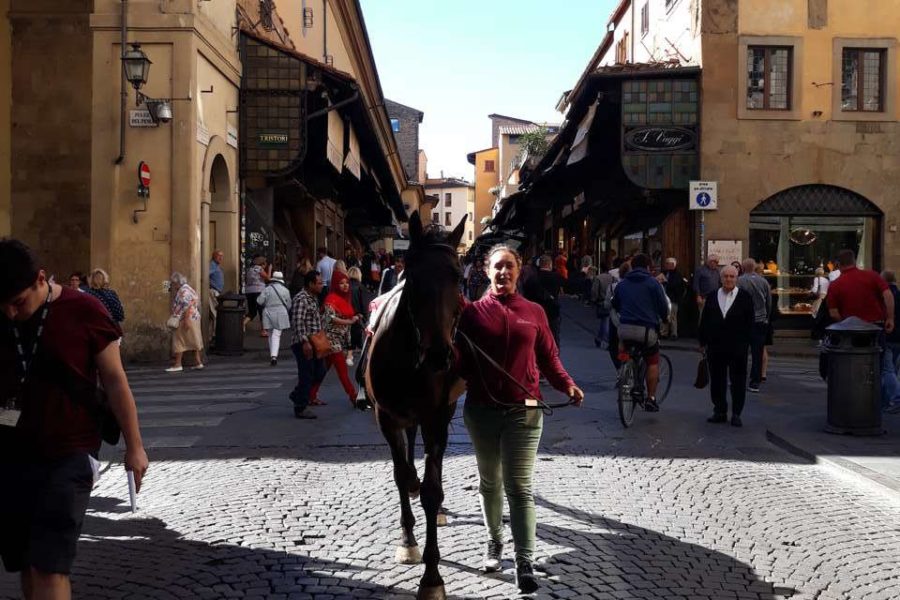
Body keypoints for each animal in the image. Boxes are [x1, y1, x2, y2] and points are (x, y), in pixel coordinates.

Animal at [362, 212, 468, 600]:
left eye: (457, 277)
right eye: (414, 276)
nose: (439, 354)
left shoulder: (437, 417)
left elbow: (431, 491)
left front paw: (432, 576)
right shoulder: (385, 417)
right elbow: (402, 475)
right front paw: (409, 540)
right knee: (406, 463)